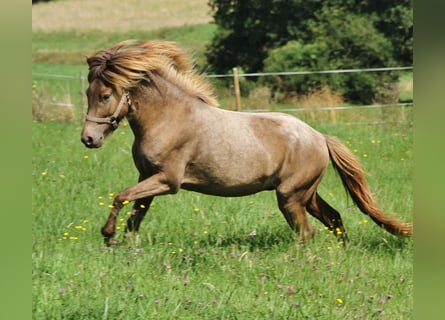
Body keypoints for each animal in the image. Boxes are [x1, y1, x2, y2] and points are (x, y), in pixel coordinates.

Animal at [80, 40, 412, 245]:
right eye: (87, 93)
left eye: (105, 95)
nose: (88, 139)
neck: (169, 119)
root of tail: (320, 138)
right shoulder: (147, 177)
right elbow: (135, 213)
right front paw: (123, 245)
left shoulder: (167, 180)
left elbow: (120, 197)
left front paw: (107, 235)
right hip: (306, 194)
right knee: (334, 219)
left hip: (291, 196)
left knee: (306, 233)